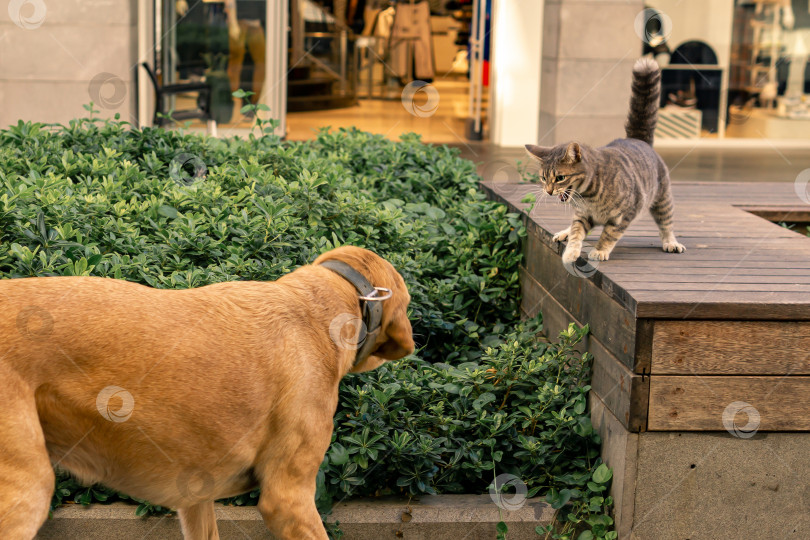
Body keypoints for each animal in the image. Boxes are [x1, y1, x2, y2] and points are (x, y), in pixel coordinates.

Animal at [524, 57, 680, 266]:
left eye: (560, 178)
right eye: (543, 178)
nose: (548, 191)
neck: (588, 196)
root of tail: (637, 139)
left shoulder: (625, 214)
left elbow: (609, 234)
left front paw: (599, 250)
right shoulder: (583, 215)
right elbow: (576, 232)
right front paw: (571, 251)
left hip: (662, 199)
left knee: (666, 222)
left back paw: (671, 242)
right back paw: (565, 232)